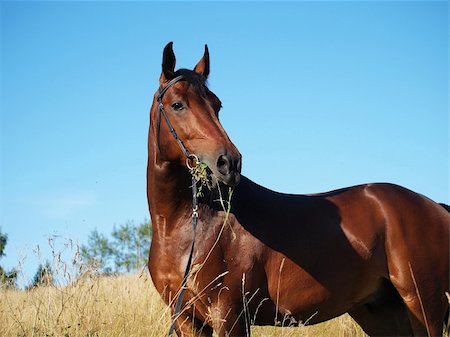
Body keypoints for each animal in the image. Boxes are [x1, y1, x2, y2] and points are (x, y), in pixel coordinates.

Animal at [147, 42, 446, 336]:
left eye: (217, 105)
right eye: (177, 105)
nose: (229, 162)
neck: (187, 227)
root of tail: (435, 207)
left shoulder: (229, 316)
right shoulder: (187, 320)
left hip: (423, 307)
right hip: (381, 312)